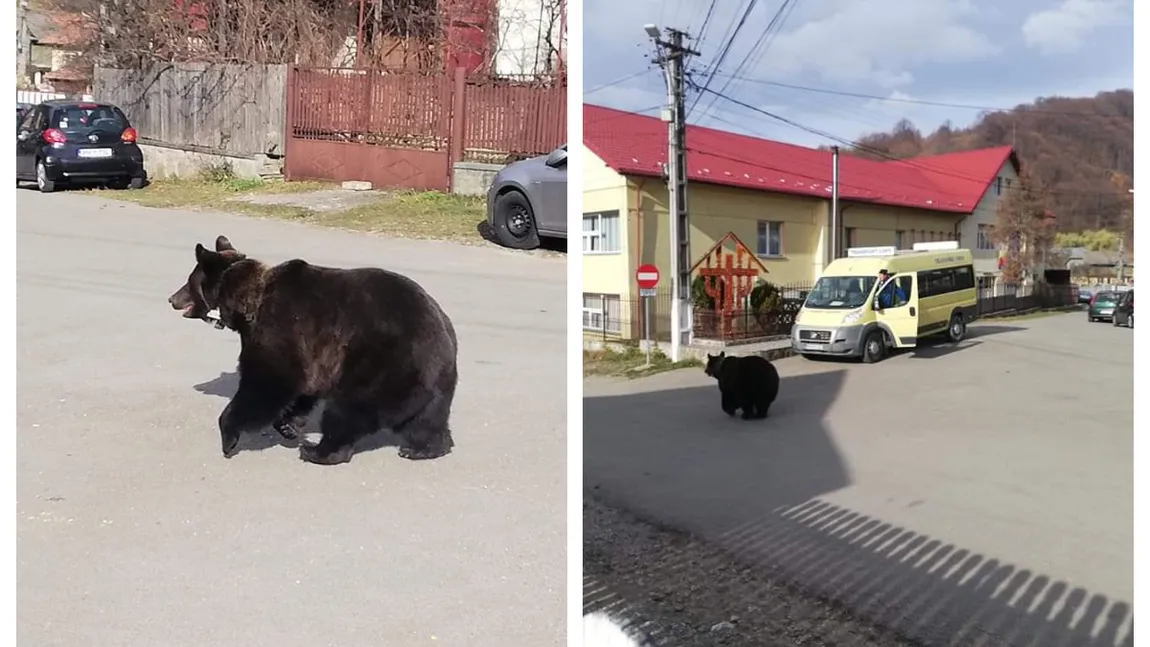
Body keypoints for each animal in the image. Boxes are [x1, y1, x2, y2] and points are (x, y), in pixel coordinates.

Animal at [170, 236, 457, 466]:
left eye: (188, 282)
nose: (172, 298)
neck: (249, 302)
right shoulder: (313, 355)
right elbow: (302, 388)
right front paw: (288, 425)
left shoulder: (280, 329)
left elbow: (266, 383)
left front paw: (228, 435)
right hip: (432, 379)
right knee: (427, 418)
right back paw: (424, 448)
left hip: (381, 363)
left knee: (345, 411)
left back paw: (319, 452)